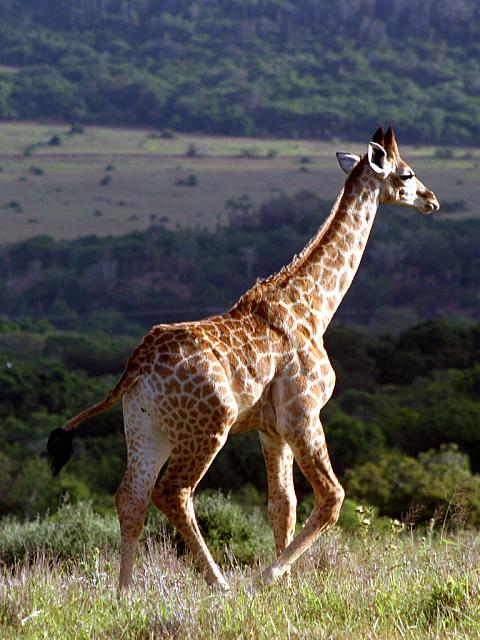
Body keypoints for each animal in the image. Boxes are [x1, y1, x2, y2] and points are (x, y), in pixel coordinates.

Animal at [47, 127, 439, 591]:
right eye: (406, 173)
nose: (432, 199)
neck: (314, 308)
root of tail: (135, 367)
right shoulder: (303, 412)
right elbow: (331, 497)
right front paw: (267, 579)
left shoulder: (271, 429)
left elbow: (282, 505)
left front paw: (283, 586)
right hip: (208, 426)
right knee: (173, 493)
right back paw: (220, 583)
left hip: (145, 428)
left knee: (131, 497)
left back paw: (124, 593)